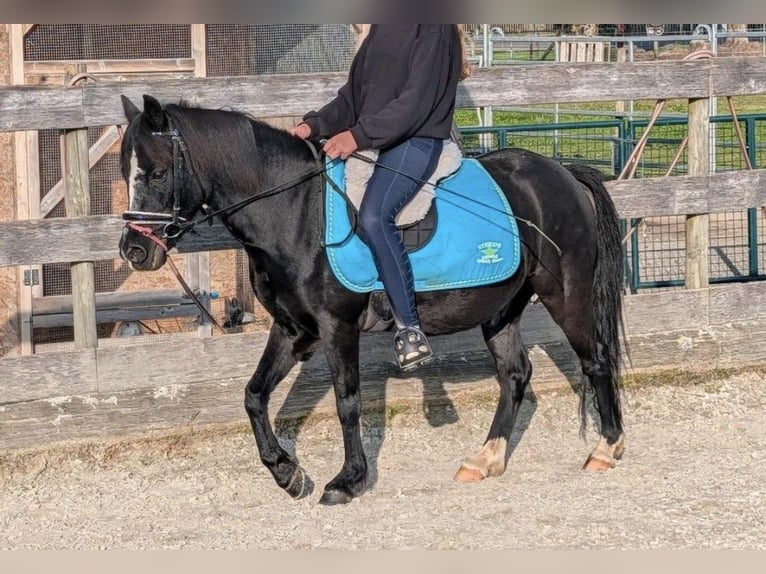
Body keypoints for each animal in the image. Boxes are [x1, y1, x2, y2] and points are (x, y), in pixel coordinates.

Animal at [118, 94, 625, 505]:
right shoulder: (293, 329)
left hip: (566, 295)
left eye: (157, 172)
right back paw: (484, 460)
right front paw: (288, 474)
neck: (295, 212)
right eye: (126, 172)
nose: (134, 251)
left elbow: (348, 401)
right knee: (515, 374)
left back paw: (607, 448)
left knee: (596, 360)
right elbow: (253, 395)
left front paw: (347, 481)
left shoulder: (336, 326)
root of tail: (563, 173)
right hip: (502, 309)